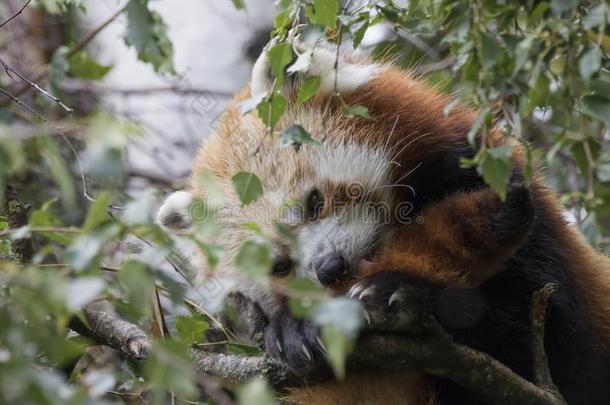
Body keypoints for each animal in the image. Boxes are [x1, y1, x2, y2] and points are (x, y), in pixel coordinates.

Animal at [158, 42, 610, 402]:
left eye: (315, 202)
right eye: (279, 265)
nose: (330, 268)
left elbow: (546, 332)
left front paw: (403, 293)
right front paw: (290, 329)